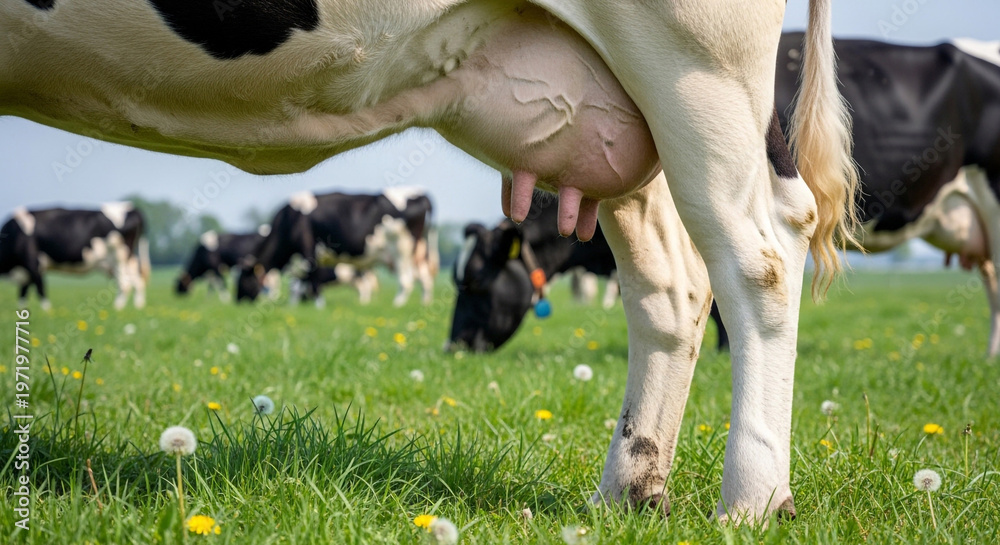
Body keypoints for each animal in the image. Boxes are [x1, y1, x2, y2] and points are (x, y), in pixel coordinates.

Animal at [1, 203, 150, 310]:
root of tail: (131, 208)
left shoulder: (32, 263)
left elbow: (40, 288)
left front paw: (47, 312)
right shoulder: (26, 270)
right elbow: (23, 294)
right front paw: (22, 312)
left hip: (119, 257)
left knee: (125, 284)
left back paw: (117, 308)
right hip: (121, 261)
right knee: (137, 281)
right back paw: (137, 307)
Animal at [236, 188, 438, 307]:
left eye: (244, 280)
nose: (238, 302)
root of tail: (421, 193)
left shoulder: (308, 252)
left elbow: (307, 281)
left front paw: (317, 305)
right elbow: (299, 282)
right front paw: (295, 305)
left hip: (402, 249)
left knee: (407, 280)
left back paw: (397, 304)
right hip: (416, 252)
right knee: (425, 278)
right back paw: (425, 303)